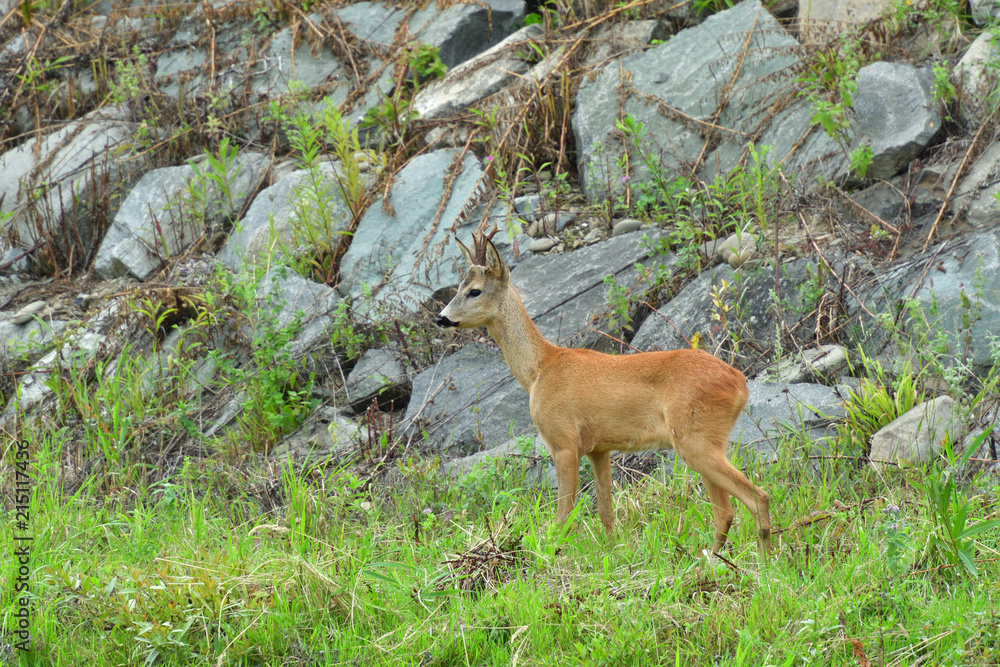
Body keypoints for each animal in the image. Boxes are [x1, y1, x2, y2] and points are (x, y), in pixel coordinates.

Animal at [433, 224, 772, 554]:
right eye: (458, 288)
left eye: (474, 291)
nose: (441, 318)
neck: (539, 369)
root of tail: (739, 383)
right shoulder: (600, 449)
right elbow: (607, 515)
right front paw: (612, 553)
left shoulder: (563, 441)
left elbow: (563, 516)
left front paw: (555, 556)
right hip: (707, 440)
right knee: (726, 511)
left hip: (693, 438)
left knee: (757, 497)